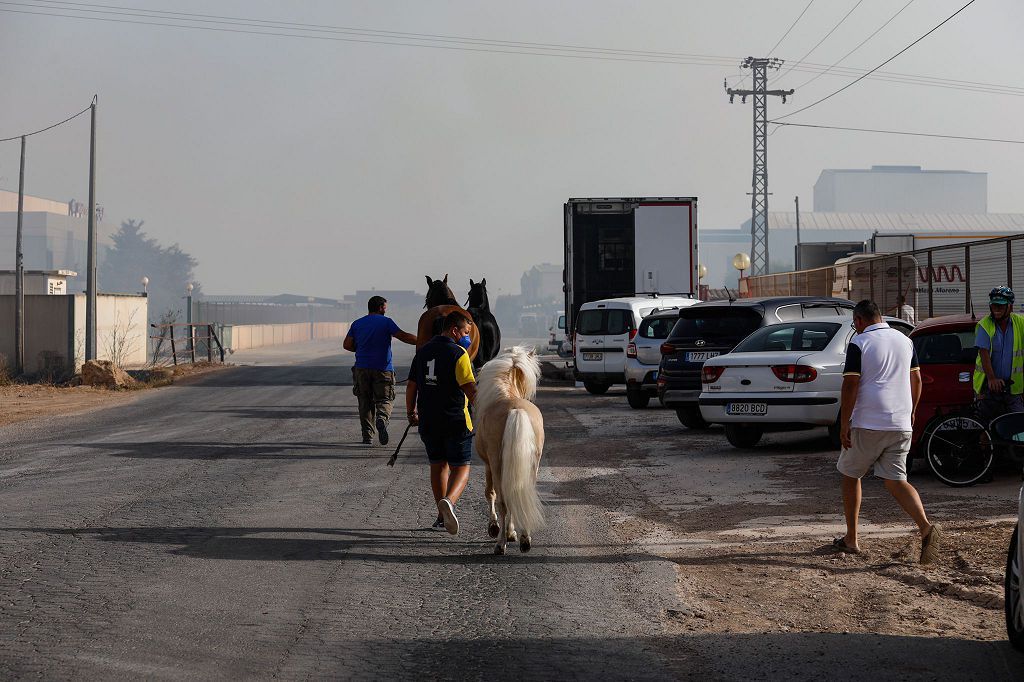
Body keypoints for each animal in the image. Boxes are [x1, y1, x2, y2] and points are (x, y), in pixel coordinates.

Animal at [475, 346, 548, 552]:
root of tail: (516, 409)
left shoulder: (488, 465)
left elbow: (490, 493)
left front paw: (495, 528)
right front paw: (512, 533)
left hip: (497, 465)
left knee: (503, 500)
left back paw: (501, 544)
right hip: (532, 465)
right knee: (519, 492)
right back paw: (525, 539)